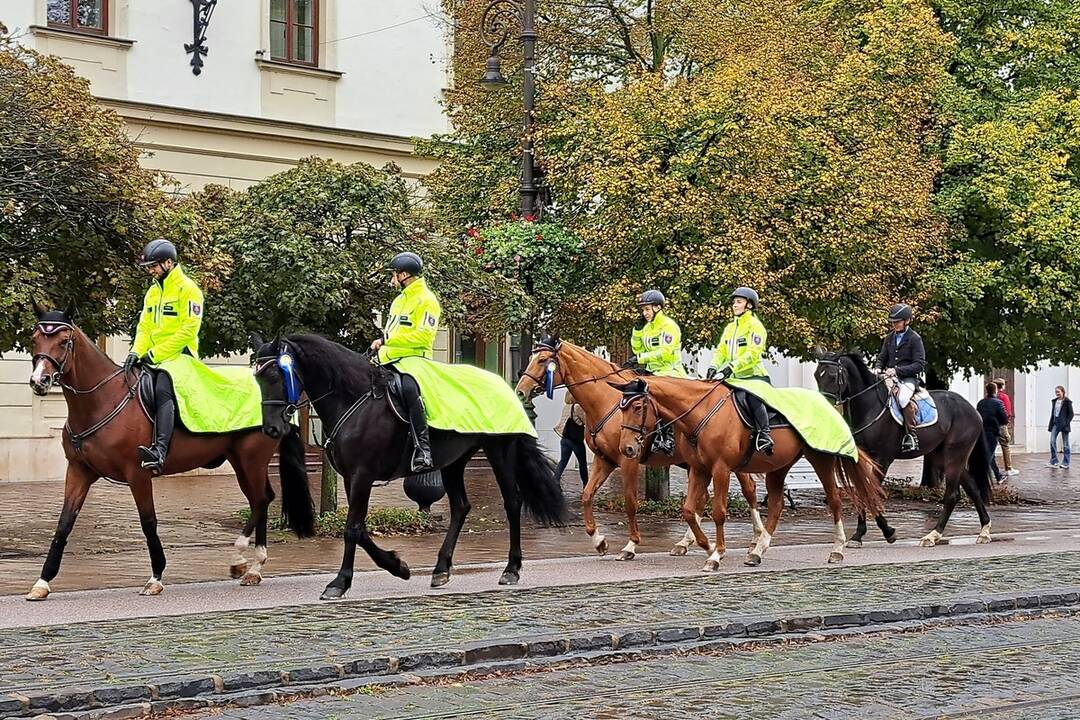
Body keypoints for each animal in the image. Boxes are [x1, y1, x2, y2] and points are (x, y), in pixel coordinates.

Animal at [23, 306, 315, 600]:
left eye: (64, 341)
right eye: (34, 339)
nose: (39, 381)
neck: (101, 400)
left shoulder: (137, 474)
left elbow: (148, 522)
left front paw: (156, 577)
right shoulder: (79, 472)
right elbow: (64, 523)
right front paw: (43, 581)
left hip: (251, 460)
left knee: (261, 501)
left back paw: (242, 560)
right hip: (242, 463)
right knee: (262, 500)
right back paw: (254, 567)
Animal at [253, 332, 570, 595]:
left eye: (276, 374)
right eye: (257, 378)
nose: (271, 429)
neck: (355, 398)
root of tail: (504, 386)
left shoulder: (362, 475)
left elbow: (352, 528)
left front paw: (341, 581)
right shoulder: (351, 477)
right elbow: (360, 528)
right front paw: (398, 566)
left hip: (499, 451)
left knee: (512, 503)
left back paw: (511, 569)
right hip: (454, 461)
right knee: (460, 507)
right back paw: (441, 569)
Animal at [511, 341, 760, 561]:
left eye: (542, 360)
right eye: (532, 357)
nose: (520, 391)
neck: (606, 400)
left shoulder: (628, 460)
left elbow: (630, 502)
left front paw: (630, 546)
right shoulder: (604, 461)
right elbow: (587, 495)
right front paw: (599, 541)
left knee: (748, 489)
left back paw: (756, 540)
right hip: (694, 464)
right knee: (704, 498)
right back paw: (686, 543)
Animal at [613, 377, 881, 569]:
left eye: (638, 406)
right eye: (621, 408)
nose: (626, 448)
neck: (701, 412)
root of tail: (827, 403)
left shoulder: (721, 469)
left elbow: (719, 512)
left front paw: (716, 555)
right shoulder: (699, 470)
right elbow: (689, 510)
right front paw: (707, 545)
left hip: (820, 459)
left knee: (834, 501)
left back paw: (837, 549)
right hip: (778, 467)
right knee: (776, 505)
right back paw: (757, 551)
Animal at [812, 349, 989, 546]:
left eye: (833, 376)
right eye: (816, 375)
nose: (821, 408)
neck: (869, 408)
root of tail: (972, 409)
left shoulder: (882, 459)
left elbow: (870, 493)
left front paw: (888, 532)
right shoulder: (861, 460)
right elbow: (862, 491)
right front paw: (858, 535)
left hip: (954, 455)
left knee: (952, 495)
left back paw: (932, 535)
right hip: (947, 457)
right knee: (973, 490)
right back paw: (984, 531)